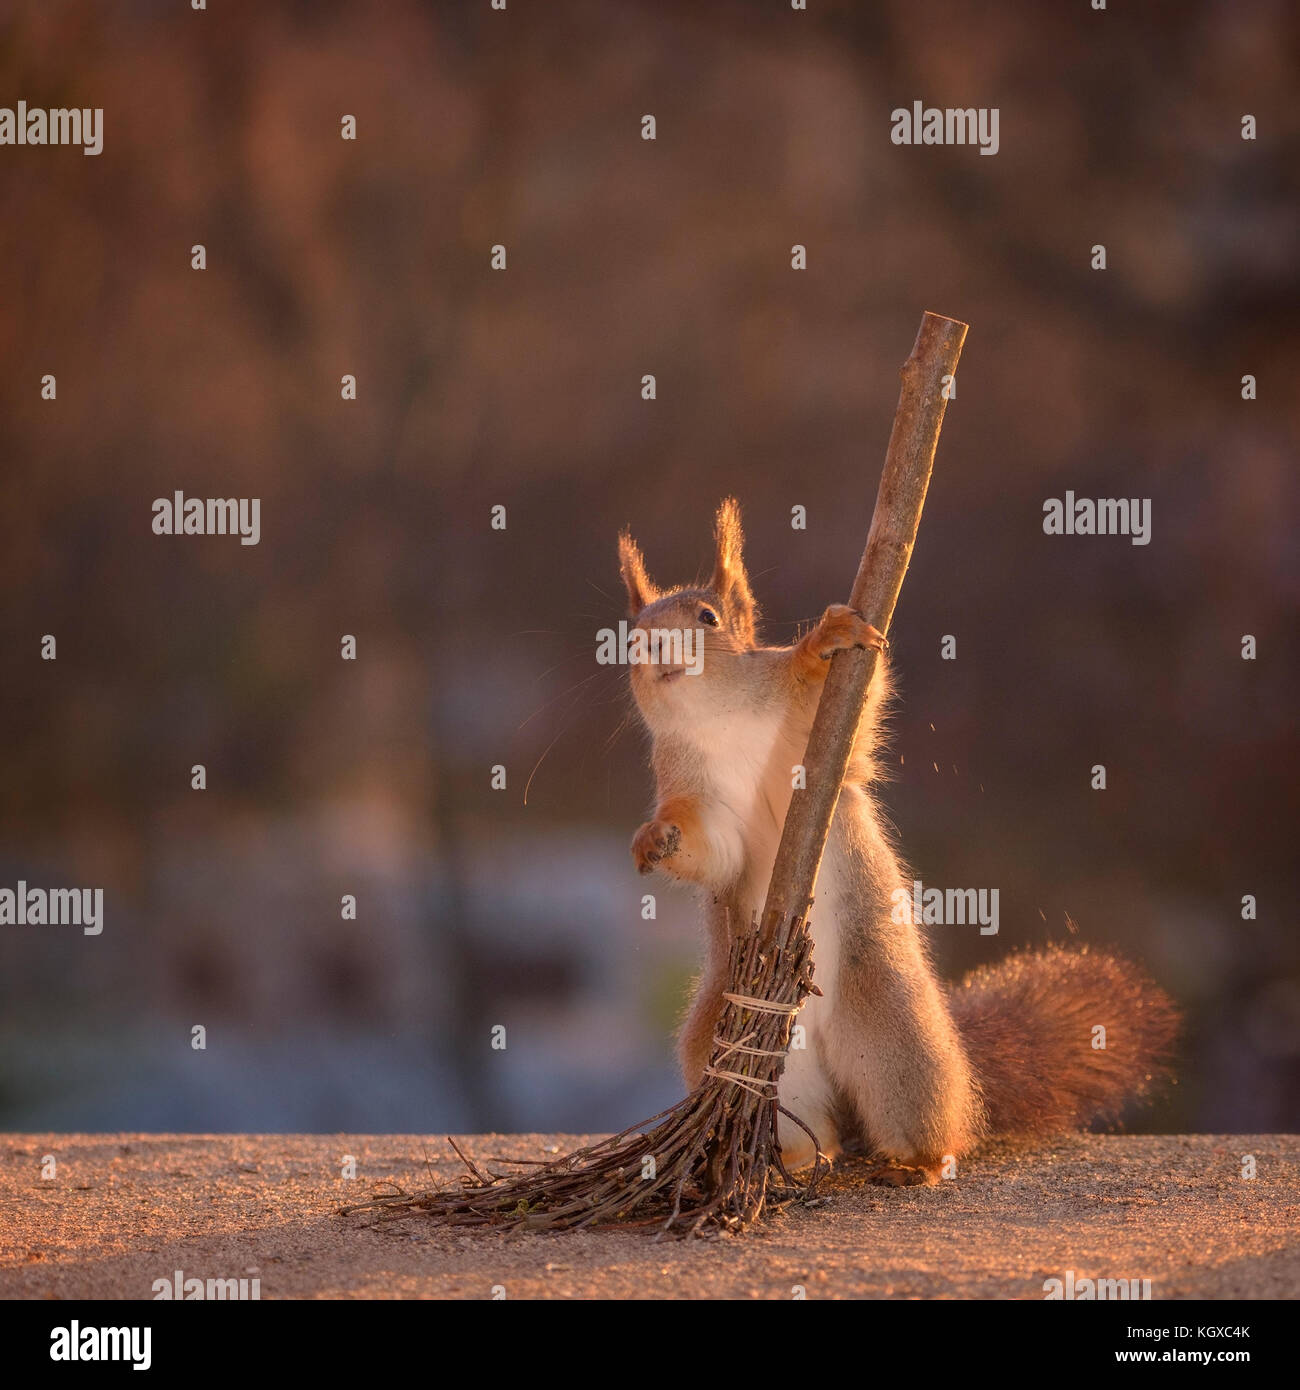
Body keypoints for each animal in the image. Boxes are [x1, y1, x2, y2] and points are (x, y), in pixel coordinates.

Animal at [620, 500, 1179, 1184]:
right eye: (632, 631)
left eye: (708, 617)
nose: (652, 644)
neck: (717, 722)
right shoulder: (693, 788)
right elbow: (715, 851)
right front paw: (657, 838)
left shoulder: (817, 738)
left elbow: (843, 712)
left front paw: (823, 643)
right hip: (742, 1050)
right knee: (796, 1117)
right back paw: (795, 1163)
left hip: (896, 1036)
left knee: (922, 1108)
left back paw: (919, 1164)